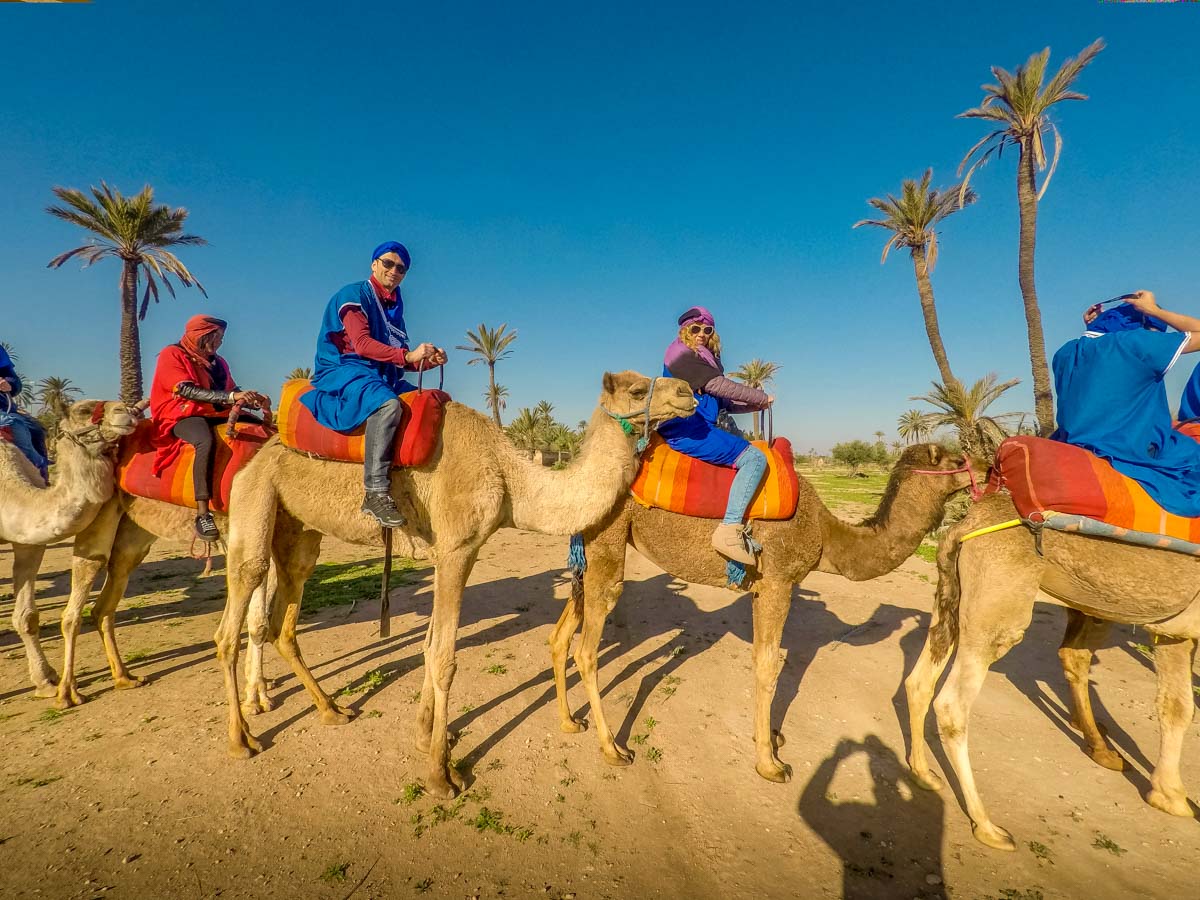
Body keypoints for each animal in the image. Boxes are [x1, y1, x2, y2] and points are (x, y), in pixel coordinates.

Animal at [218, 369, 696, 801]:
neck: (509, 478)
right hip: (253, 499)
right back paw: (243, 739)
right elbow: (445, 658)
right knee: (236, 610)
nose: (688, 392)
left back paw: (332, 710)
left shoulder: (452, 553)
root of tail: (258, 450)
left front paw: (428, 738)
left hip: (297, 528)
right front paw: (441, 776)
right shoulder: (456, 550)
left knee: (284, 615)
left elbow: (431, 647)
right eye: (637, 389)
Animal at [549, 441, 979, 782]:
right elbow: (770, 666)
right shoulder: (778, 582)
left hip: (589, 553)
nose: (985, 464)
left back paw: (570, 722)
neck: (825, 534)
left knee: (560, 634)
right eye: (957, 458)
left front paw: (769, 737)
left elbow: (763, 661)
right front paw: (771, 764)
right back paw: (613, 750)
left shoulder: (762, 589)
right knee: (586, 648)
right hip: (608, 538)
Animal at [902, 494, 1200, 854]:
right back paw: (987, 825)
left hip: (954, 595)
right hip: (1000, 597)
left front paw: (1170, 796)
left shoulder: (1176, 631)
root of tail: (965, 525)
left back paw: (923, 773)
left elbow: (1177, 707)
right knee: (952, 705)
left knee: (920, 680)